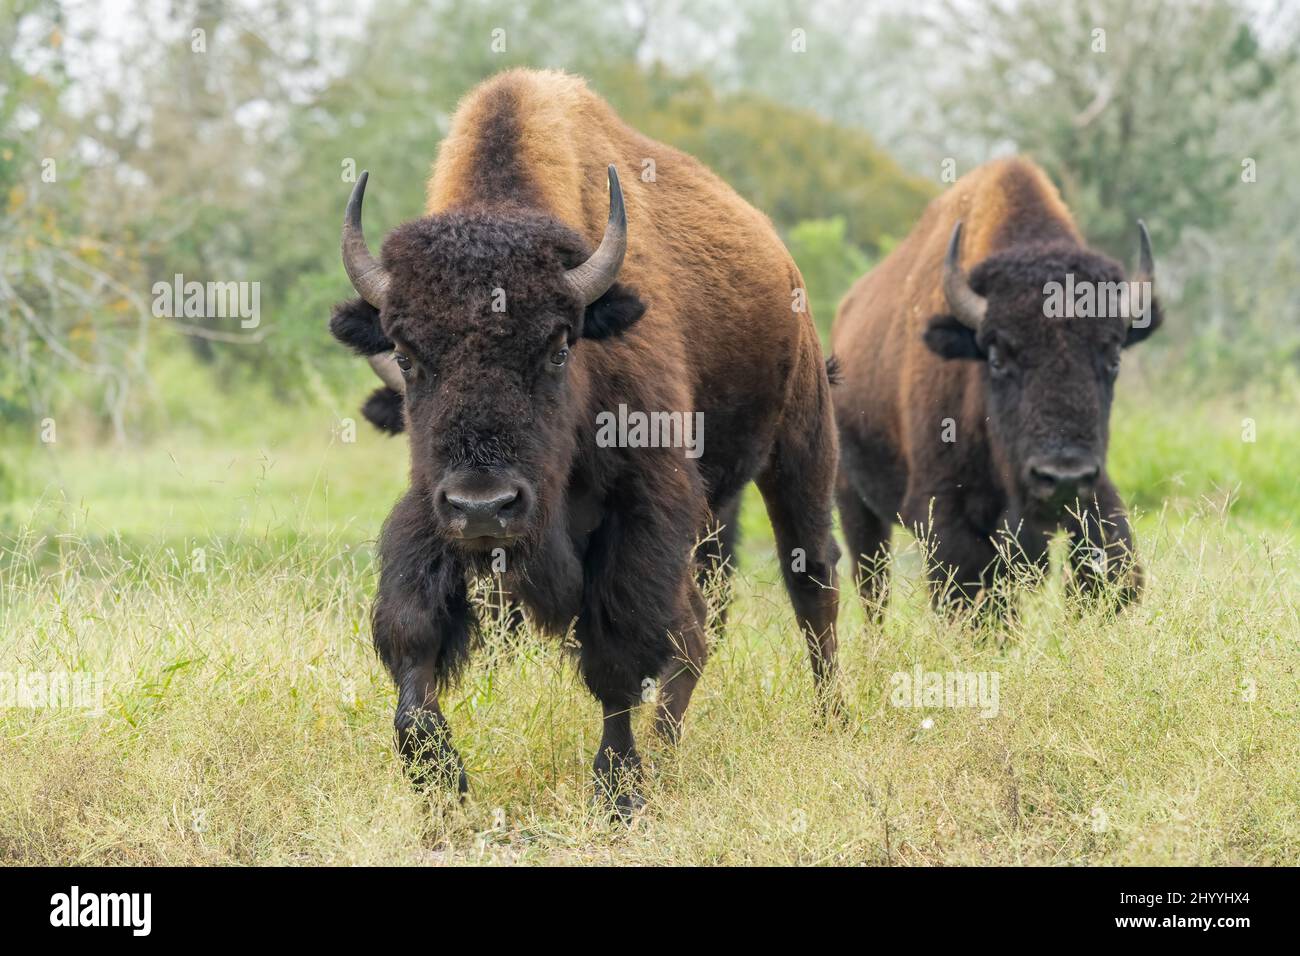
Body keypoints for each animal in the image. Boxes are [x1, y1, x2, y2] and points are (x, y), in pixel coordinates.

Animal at [327, 69, 842, 816]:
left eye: (559, 345)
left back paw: (831, 720)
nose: (485, 505)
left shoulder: (643, 507)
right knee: (698, 628)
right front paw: (442, 785)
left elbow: (617, 656)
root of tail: (785, 266)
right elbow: (411, 635)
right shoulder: (431, 512)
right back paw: (670, 750)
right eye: (407, 351)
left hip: (799, 449)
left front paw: (617, 791)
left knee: (811, 586)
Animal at [826, 157, 1164, 621]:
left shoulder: (1094, 497)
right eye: (999, 358)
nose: (1062, 477)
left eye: (1113, 359)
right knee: (872, 584)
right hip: (853, 501)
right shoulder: (942, 512)